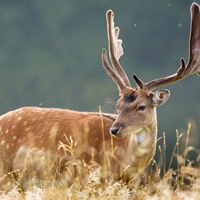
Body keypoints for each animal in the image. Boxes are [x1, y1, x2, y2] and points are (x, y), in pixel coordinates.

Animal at [0, 2, 199, 191]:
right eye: (118, 106)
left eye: (141, 106)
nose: (115, 129)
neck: (121, 164)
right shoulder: (81, 178)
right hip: (6, 175)